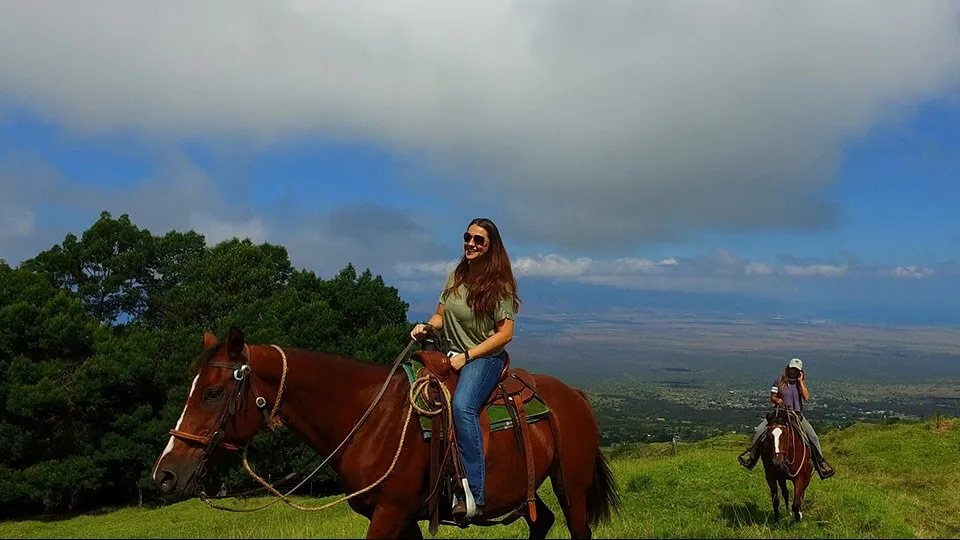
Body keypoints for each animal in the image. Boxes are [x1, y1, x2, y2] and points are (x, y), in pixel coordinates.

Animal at [151, 326, 624, 536]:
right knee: (541, 521)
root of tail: (575, 396)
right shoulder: (403, 517)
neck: (370, 418)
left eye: (213, 392)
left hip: (571, 487)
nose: (165, 474)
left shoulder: (390, 513)